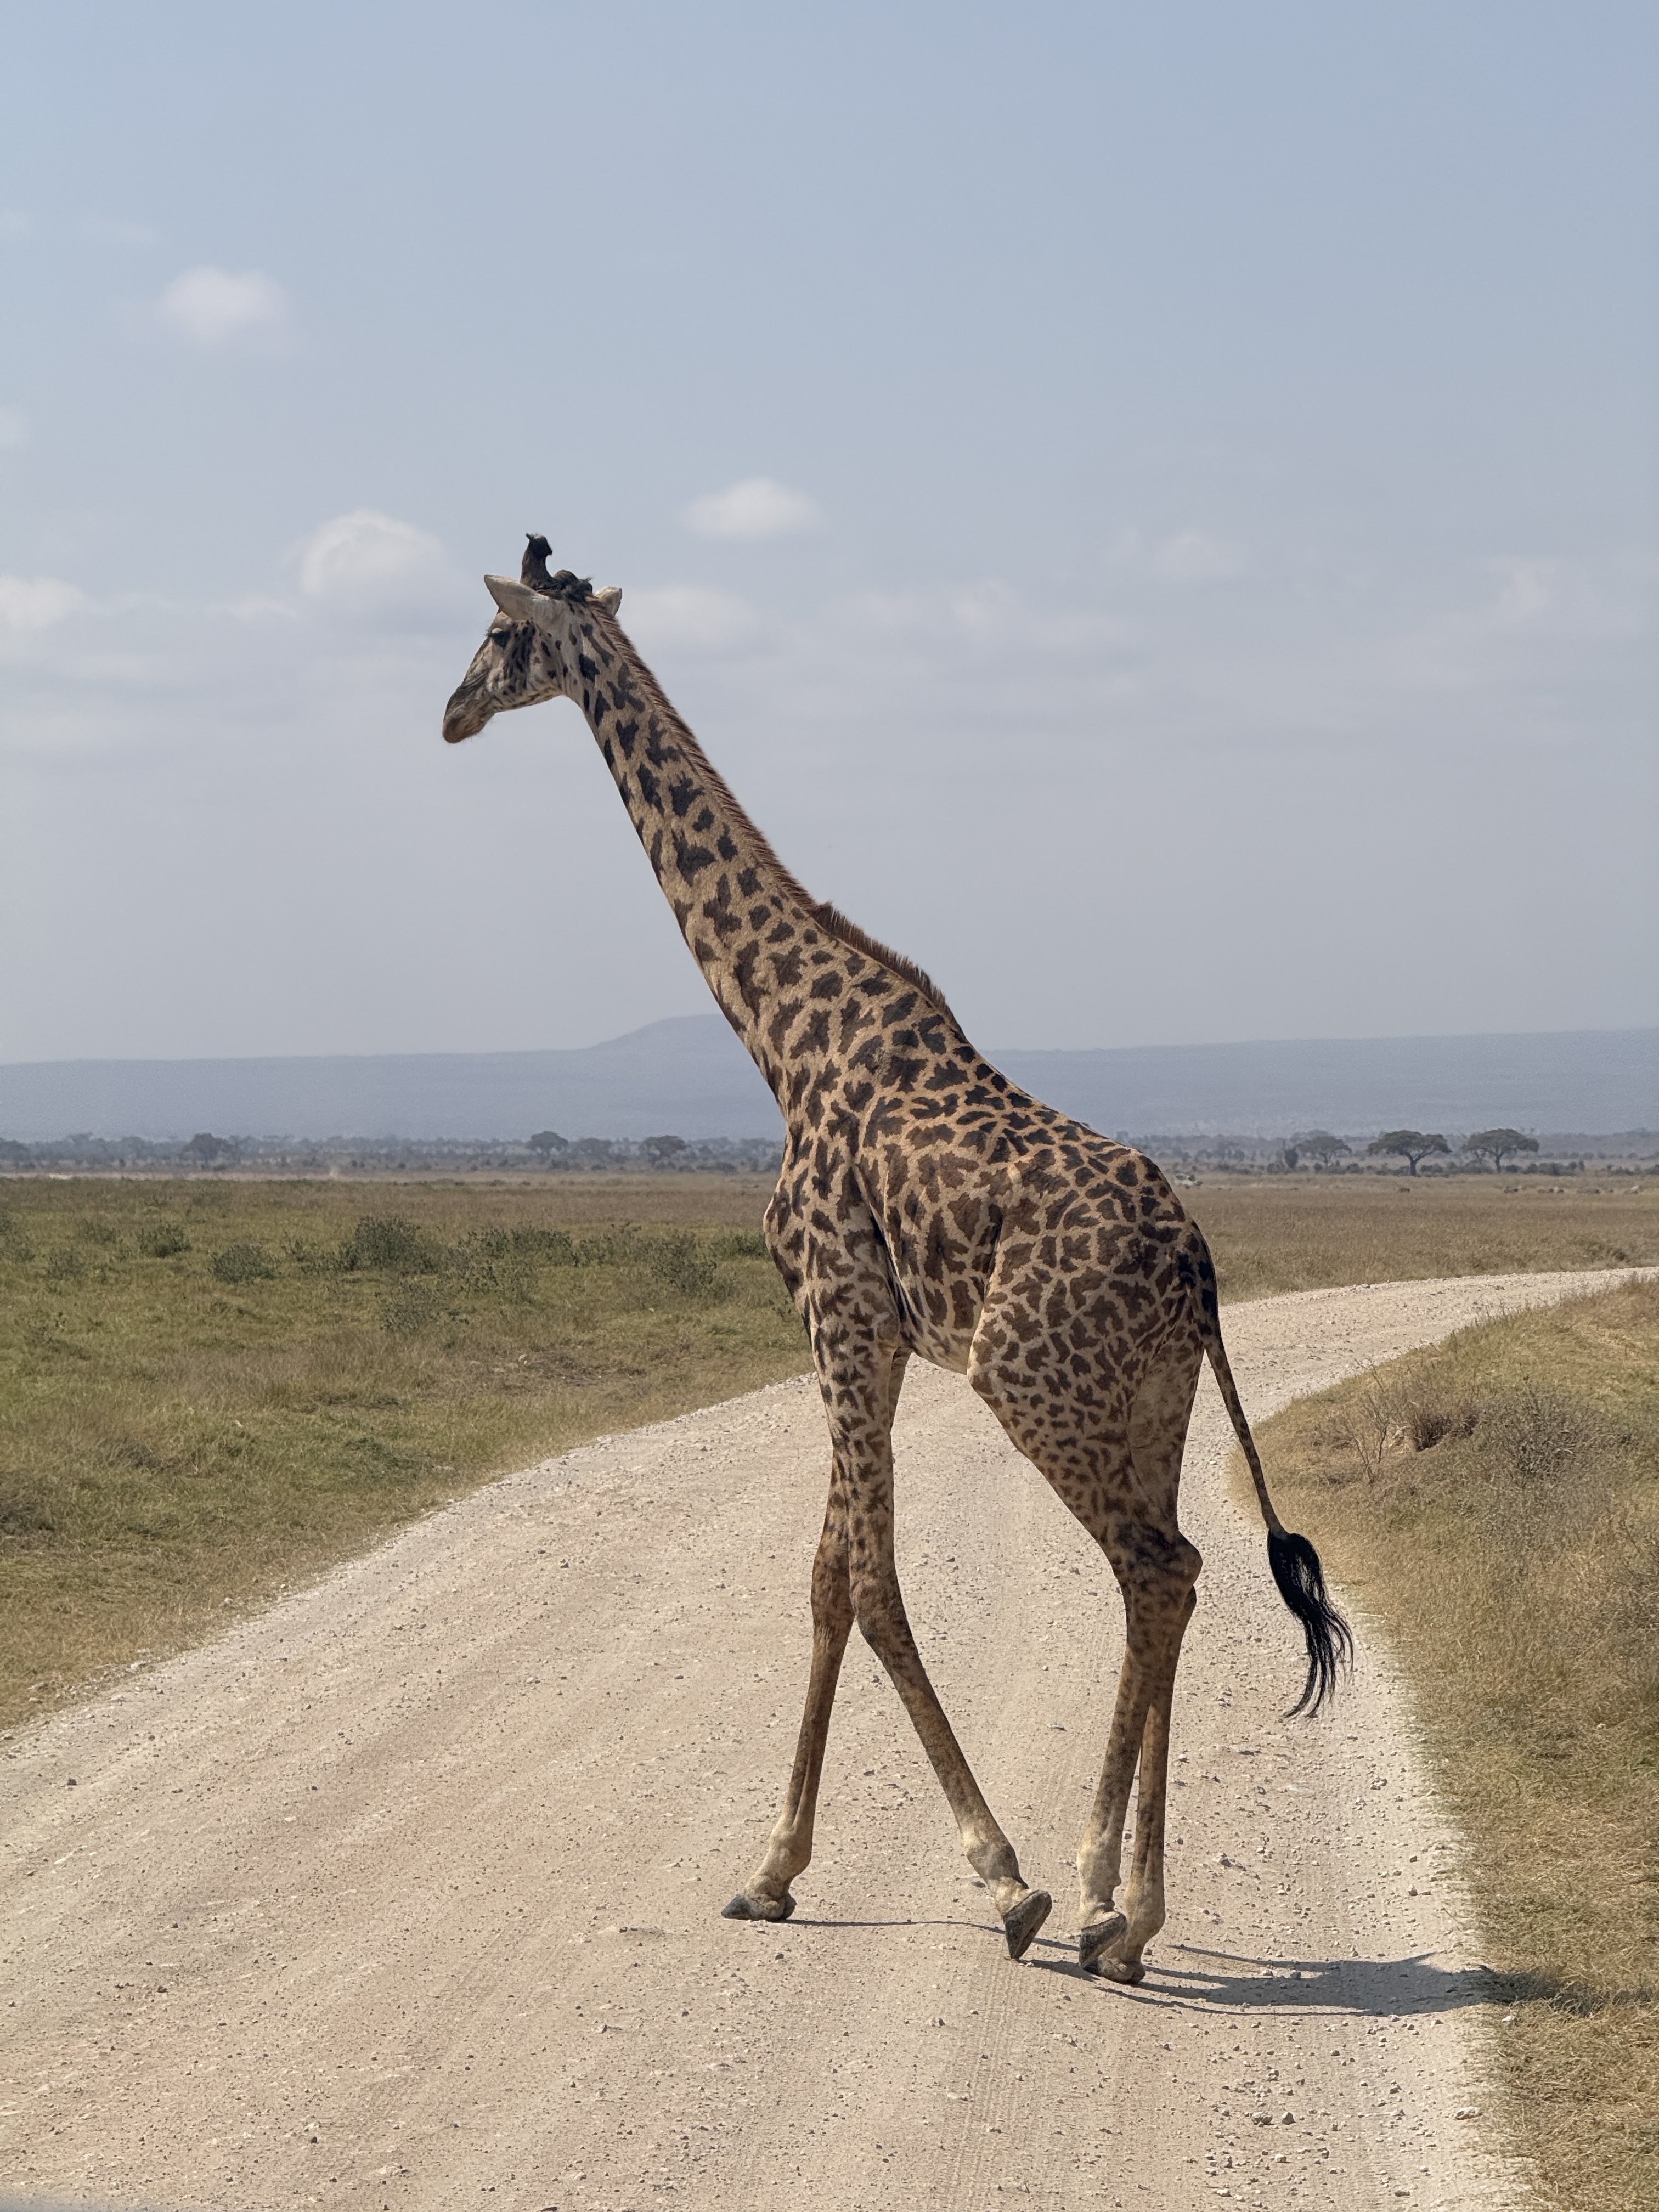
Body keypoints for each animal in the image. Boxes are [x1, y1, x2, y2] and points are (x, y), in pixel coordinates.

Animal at [442, 539, 1352, 1983]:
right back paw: (1128, 1914)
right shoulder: (857, 1328)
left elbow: (869, 1587)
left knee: (1159, 1569)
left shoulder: (839, 1308)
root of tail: (1200, 1267)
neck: (779, 1036)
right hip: (1149, 1399)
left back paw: (1099, 1896)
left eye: (493, 633)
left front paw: (1003, 1879)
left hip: (1032, 1383)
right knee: (1175, 1575)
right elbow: (824, 1582)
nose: (451, 715)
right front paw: (771, 1873)